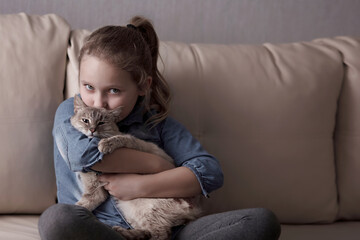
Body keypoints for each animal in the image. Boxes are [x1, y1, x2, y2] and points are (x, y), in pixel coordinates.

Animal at [69, 94, 201, 239]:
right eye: (85, 120)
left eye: (101, 123)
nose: (92, 130)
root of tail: (195, 210)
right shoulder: (95, 191)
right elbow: (83, 204)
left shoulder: (136, 144)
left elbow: (120, 139)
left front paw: (105, 144)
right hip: (130, 209)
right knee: (149, 231)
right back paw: (122, 232)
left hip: (147, 208)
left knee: (162, 234)